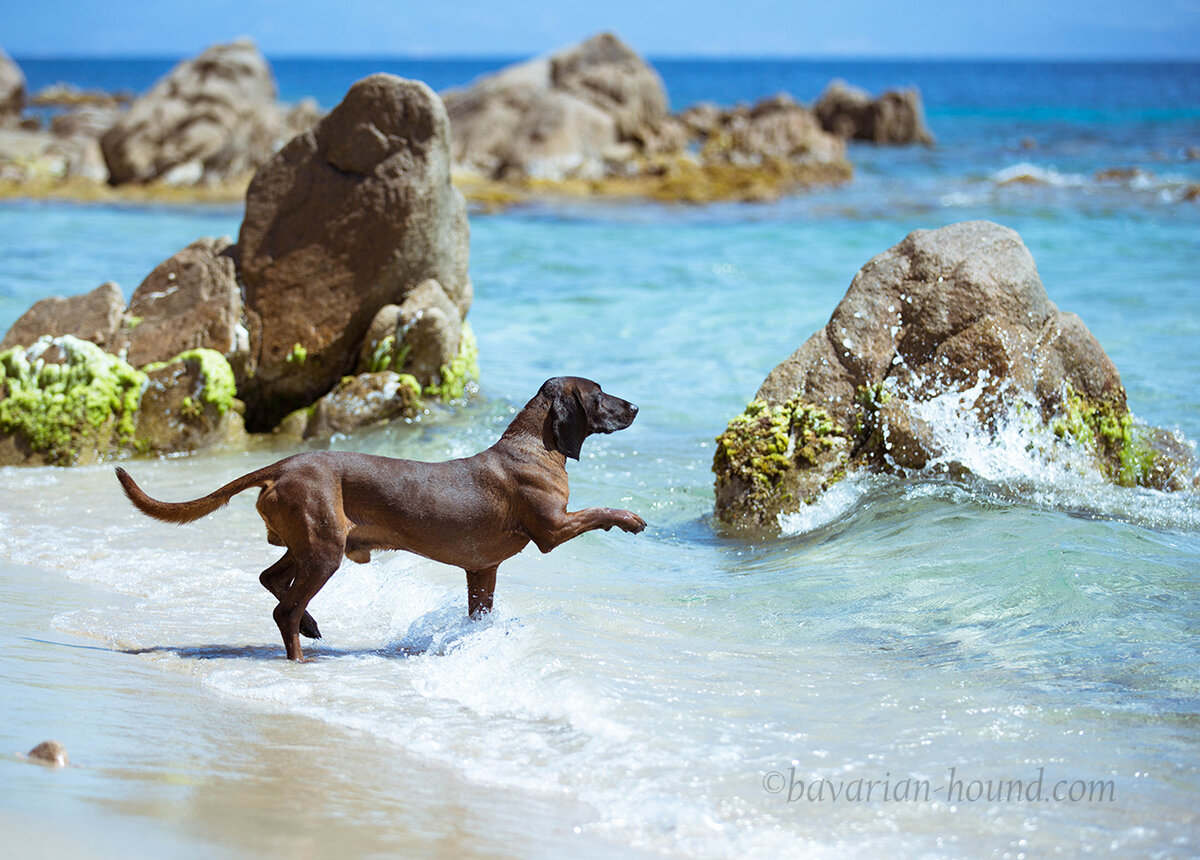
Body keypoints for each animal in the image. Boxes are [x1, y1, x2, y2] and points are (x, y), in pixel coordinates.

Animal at [117, 376, 648, 657]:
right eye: (599, 394)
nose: (637, 406)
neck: (534, 445)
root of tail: (281, 465)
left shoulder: (482, 569)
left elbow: (480, 611)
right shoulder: (553, 528)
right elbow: (598, 511)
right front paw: (628, 518)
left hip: (310, 543)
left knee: (272, 581)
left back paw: (309, 626)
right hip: (324, 550)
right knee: (284, 608)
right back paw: (299, 652)